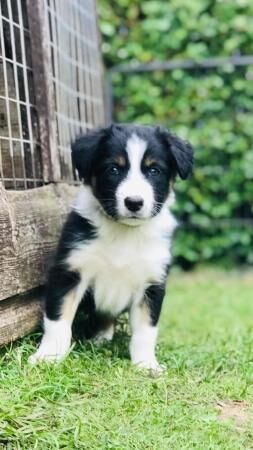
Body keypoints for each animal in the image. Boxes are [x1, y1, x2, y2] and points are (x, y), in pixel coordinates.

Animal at [28, 125, 193, 370]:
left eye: (154, 171)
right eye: (113, 169)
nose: (134, 202)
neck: (124, 233)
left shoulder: (151, 284)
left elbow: (146, 331)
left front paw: (147, 364)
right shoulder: (69, 272)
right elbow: (58, 321)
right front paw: (48, 356)